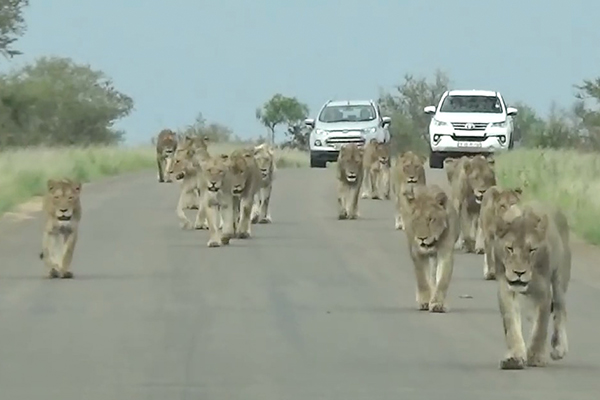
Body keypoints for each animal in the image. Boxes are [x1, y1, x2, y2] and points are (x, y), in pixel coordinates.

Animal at [400, 184, 462, 312]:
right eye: (415, 220)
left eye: (431, 219)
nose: (422, 238)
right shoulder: (417, 253)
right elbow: (422, 279)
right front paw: (424, 301)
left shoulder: (445, 253)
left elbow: (442, 280)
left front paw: (437, 303)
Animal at [492, 202, 572, 370]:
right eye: (510, 248)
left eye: (532, 250)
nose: (519, 272)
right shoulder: (505, 289)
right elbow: (511, 324)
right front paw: (514, 357)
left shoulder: (543, 292)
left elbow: (540, 326)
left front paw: (536, 356)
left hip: (560, 279)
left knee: (560, 309)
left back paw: (559, 348)